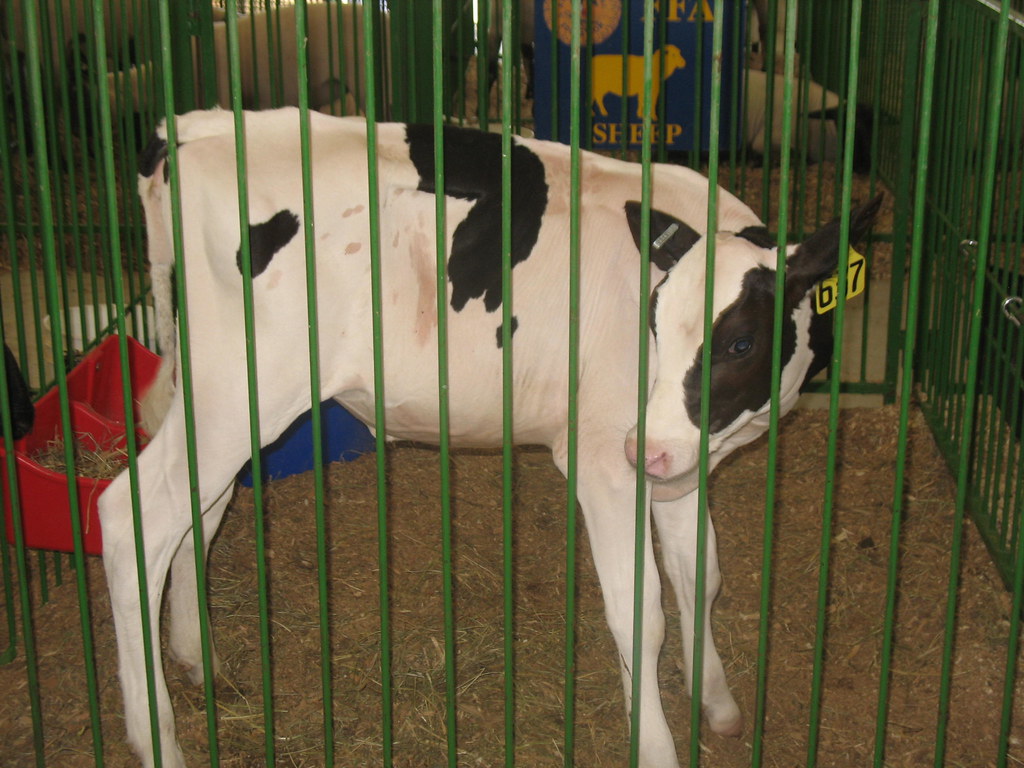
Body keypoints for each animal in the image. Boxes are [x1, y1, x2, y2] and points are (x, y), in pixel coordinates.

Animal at [100, 107, 882, 768]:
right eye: (655, 323)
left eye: (741, 342)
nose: (646, 449)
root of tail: (196, 127)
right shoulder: (605, 461)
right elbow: (642, 613)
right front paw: (659, 746)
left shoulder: (682, 461)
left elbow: (703, 576)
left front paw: (716, 702)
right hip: (241, 390)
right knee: (132, 515)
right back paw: (157, 740)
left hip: (220, 398)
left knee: (199, 513)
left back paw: (196, 657)